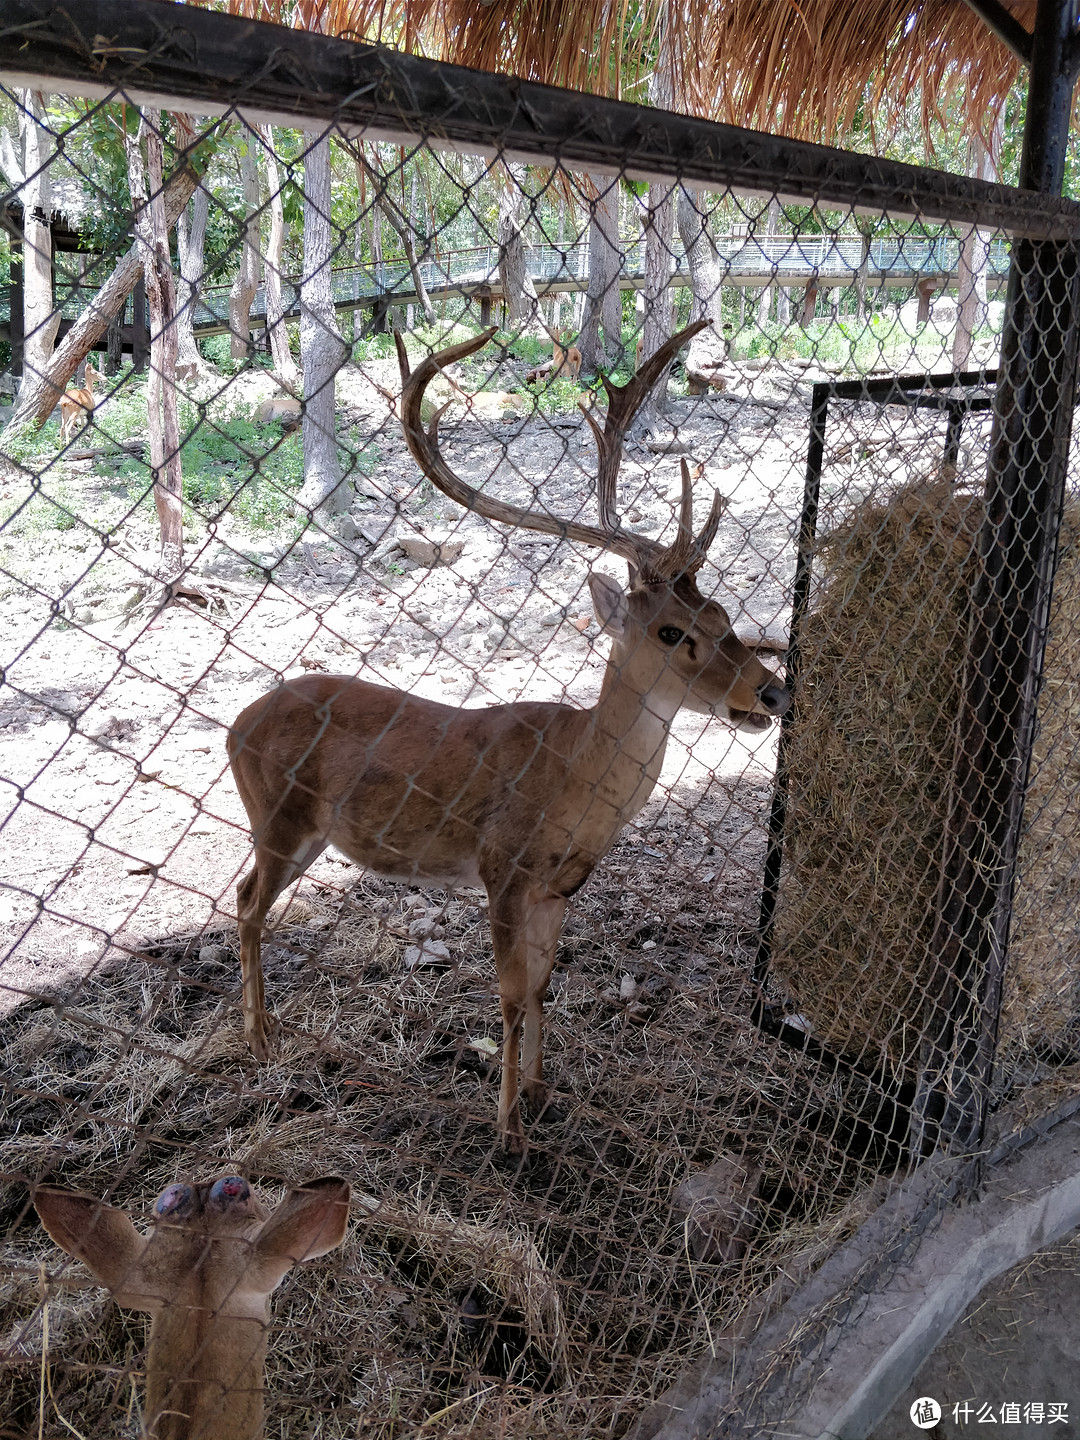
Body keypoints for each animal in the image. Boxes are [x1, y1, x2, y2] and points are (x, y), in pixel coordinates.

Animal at [228, 321, 789, 1152]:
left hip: (303, 830)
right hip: (279, 815)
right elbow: (507, 995)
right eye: (670, 631)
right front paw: (509, 1129)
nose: (772, 691)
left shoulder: (561, 883)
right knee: (247, 905)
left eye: (724, 615)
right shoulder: (500, 865)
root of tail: (238, 722)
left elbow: (544, 987)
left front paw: (543, 1089)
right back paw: (261, 1042)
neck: (574, 778)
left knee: (244, 898)